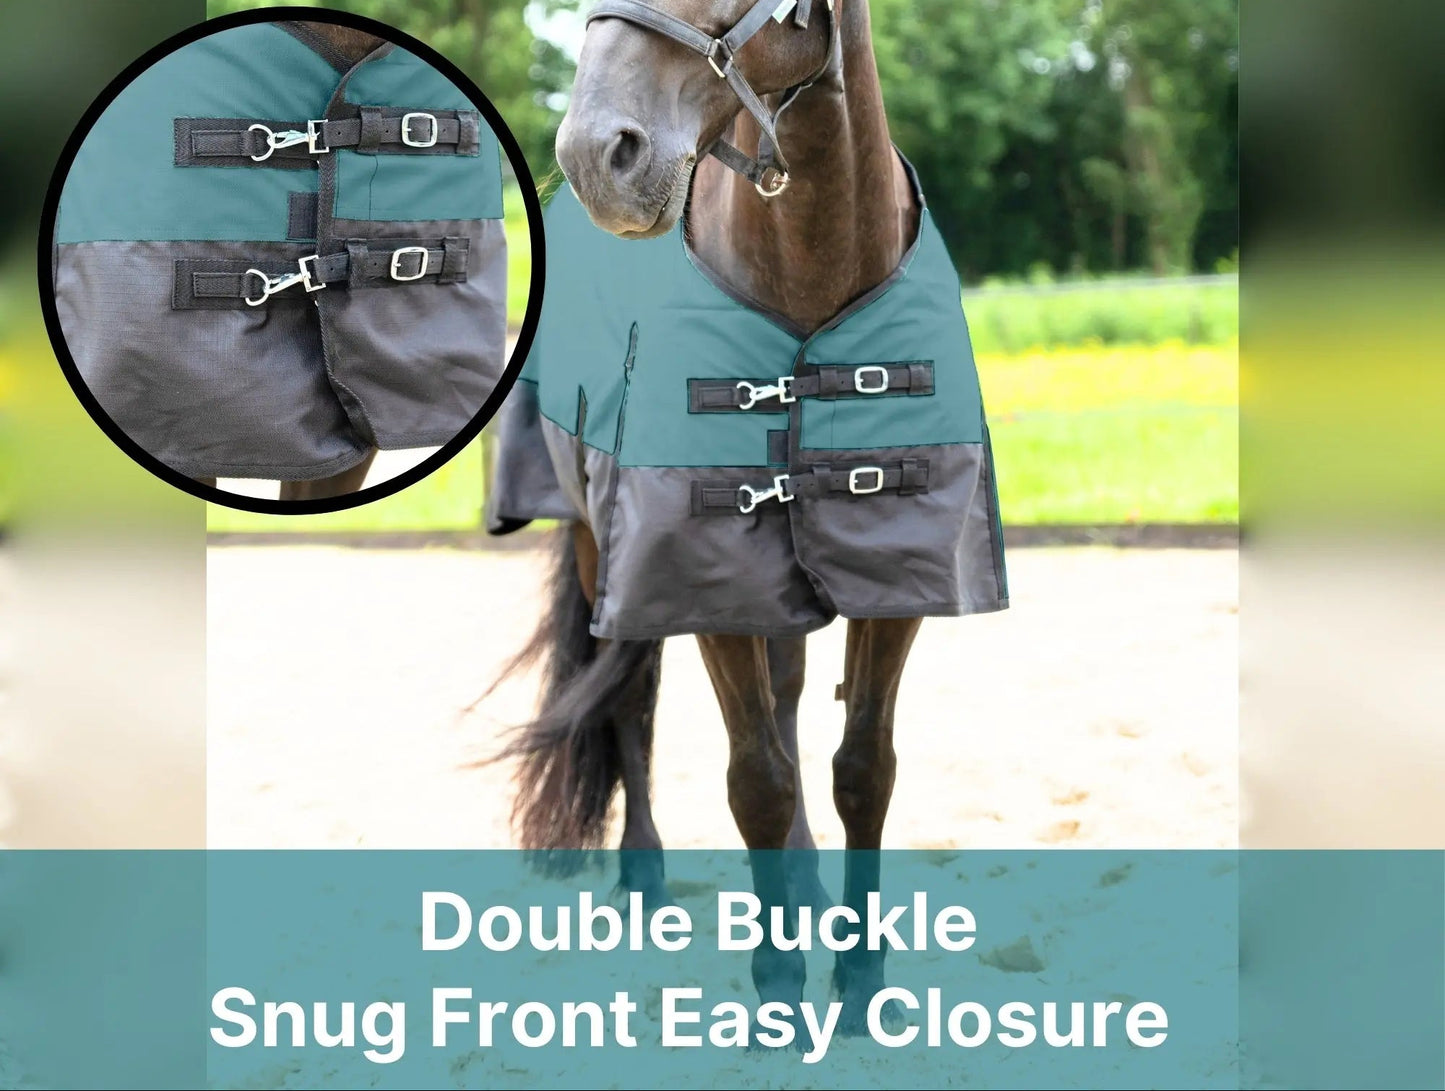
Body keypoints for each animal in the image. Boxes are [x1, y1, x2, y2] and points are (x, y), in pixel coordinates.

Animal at [492, 0, 1004, 1034]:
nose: (594, 153)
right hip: (599, 549)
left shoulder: (897, 581)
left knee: (788, 695)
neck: (810, 276)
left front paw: (858, 978)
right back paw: (643, 879)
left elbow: (860, 766)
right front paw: (776, 989)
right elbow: (754, 779)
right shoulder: (702, 575)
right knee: (631, 700)